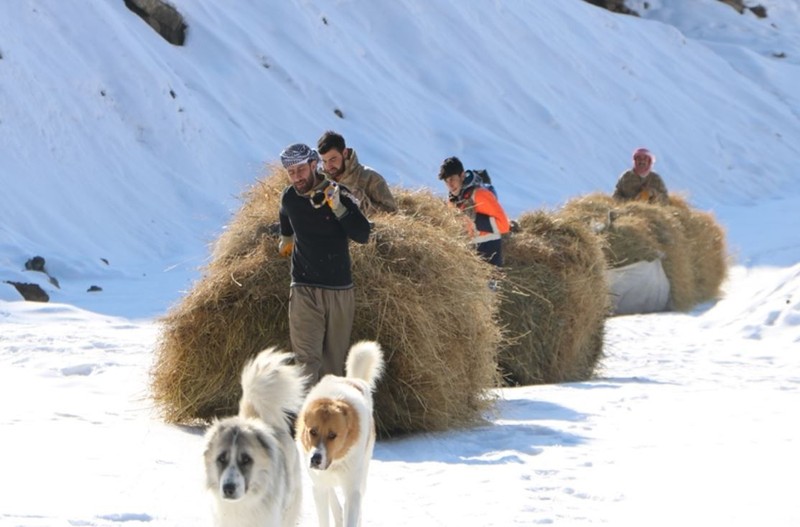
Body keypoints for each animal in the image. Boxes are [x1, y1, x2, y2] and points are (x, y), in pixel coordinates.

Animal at [296, 340, 384, 524]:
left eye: (332, 435)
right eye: (312, 431)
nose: (315, 459)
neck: (336, 461)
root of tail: (353, 379)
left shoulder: (352, 490)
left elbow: (352, 514)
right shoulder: (319, 487)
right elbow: (325, 516)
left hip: (362, 477)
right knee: (334, 499)